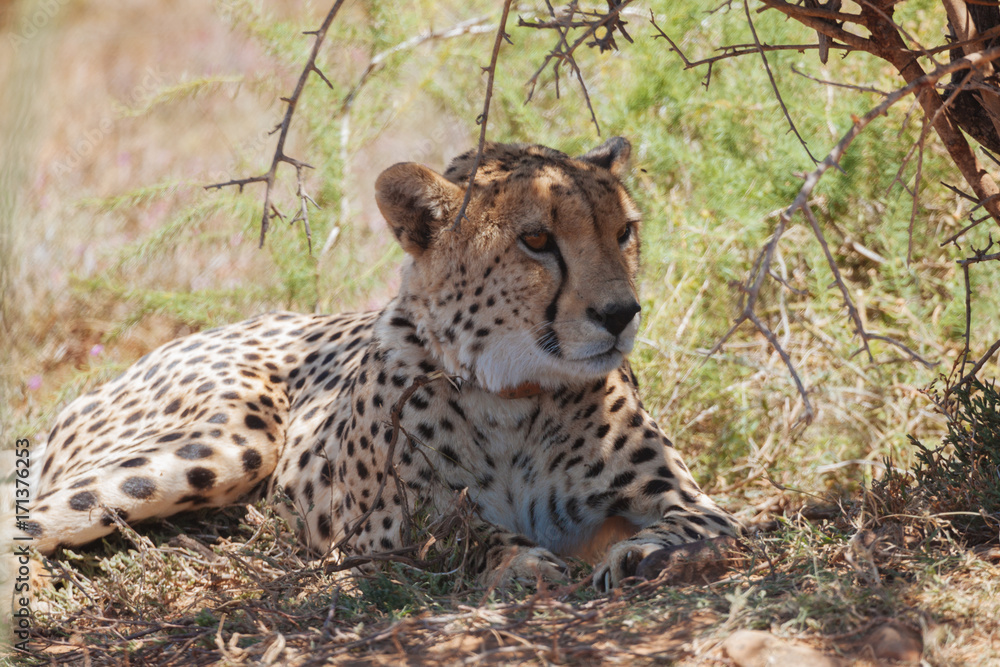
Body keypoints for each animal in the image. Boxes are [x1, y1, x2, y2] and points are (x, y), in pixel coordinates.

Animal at [23, 137, 740, 591]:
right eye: (537, 240)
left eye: (624, 232)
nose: (622, 313)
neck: (514, 392)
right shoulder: (373, 526)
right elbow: (458, 533)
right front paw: (520, 562)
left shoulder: (694, 502)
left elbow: (697, 524)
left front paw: (642, 552)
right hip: (227, 444)